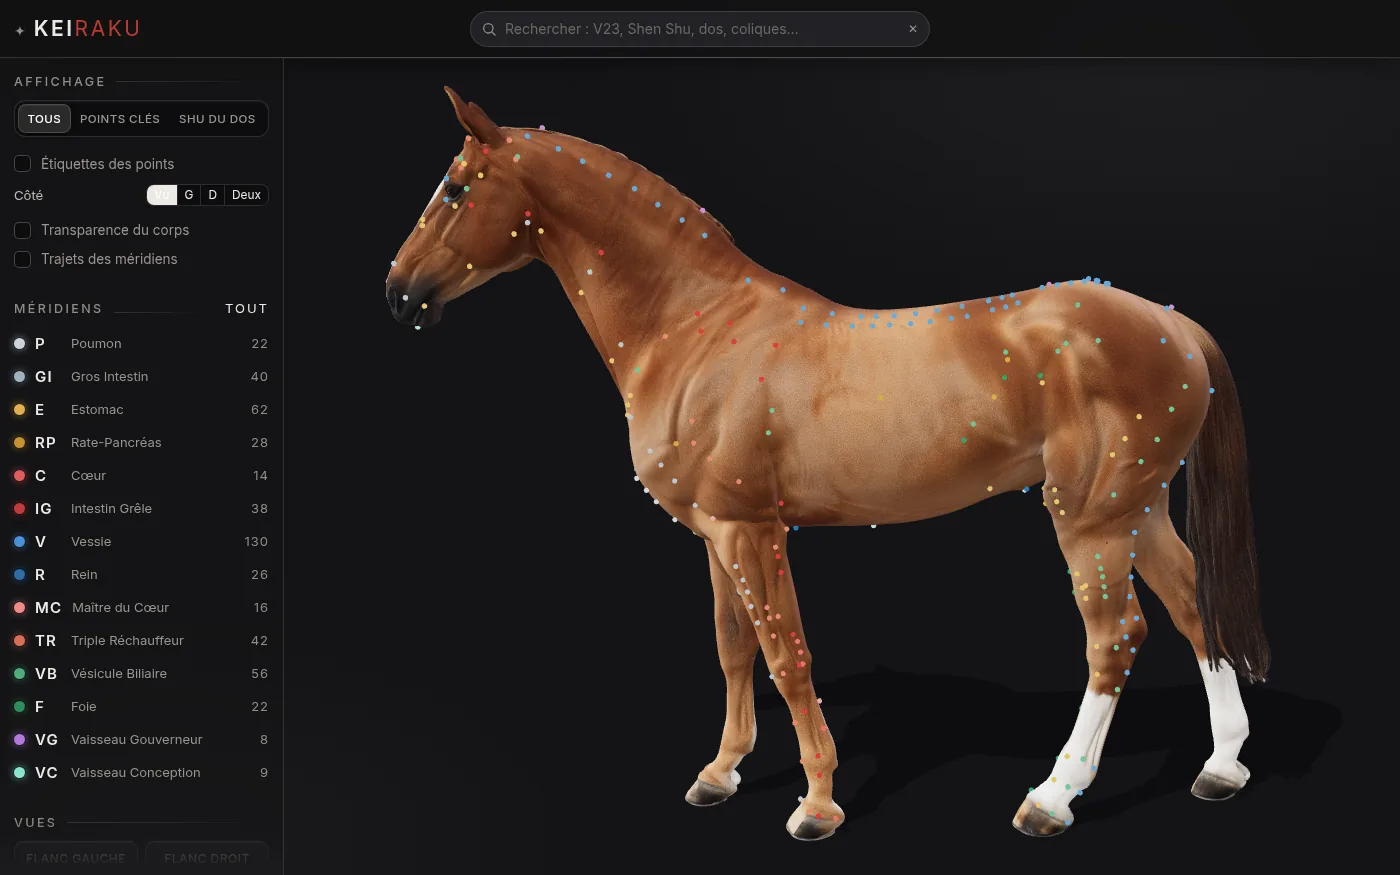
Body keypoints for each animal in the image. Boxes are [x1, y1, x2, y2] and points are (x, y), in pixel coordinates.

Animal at [386, 87, 1269, 841]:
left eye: (456, 188)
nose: (398, 292)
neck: (699, 328)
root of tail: (1173, 324)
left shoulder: (753, 530)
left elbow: (787, 654)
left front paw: (816, 803)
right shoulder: (716, 533)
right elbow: (732, 646)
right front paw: (720, 772)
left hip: (1090, 519)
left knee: (1115, 637)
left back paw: (1052, 798)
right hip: (1137, 507)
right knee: (1194, 605)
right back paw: (1222, 765)